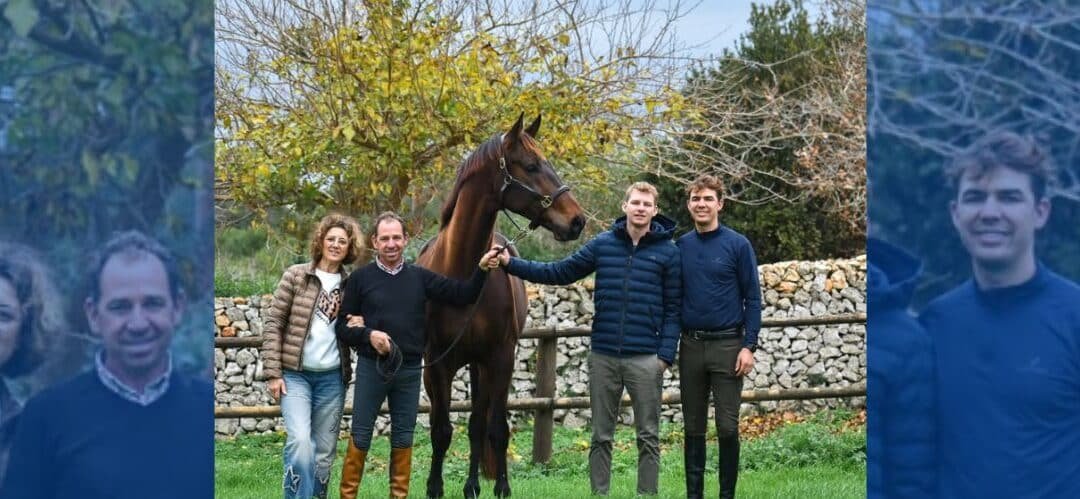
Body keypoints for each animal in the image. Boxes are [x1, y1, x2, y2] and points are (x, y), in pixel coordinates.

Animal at [417, 113, 585, 498]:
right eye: (532, 165)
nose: (577, 220)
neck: (461, 273)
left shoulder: (500, 357)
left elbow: (496, 429)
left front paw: (501, 487)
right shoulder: (437, 365)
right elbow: (440, 430)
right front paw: (434, 487)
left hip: (482, 365)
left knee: (479, 425)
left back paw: (472, 486)